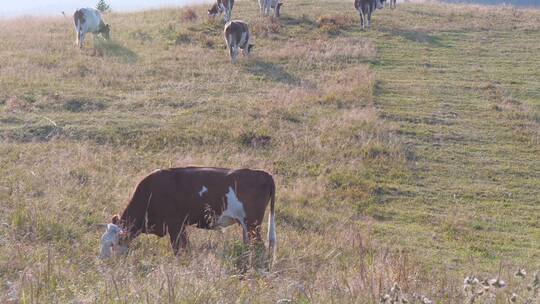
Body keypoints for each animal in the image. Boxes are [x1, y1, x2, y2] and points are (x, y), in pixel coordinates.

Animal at [100, 167, 276, 264]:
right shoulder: (180, 226)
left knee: (259, 247)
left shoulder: (175, 225)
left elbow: (180, 249)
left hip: (252, 223)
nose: (103, 261)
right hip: (247, 226)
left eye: (112, 244)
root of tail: (263, 173)